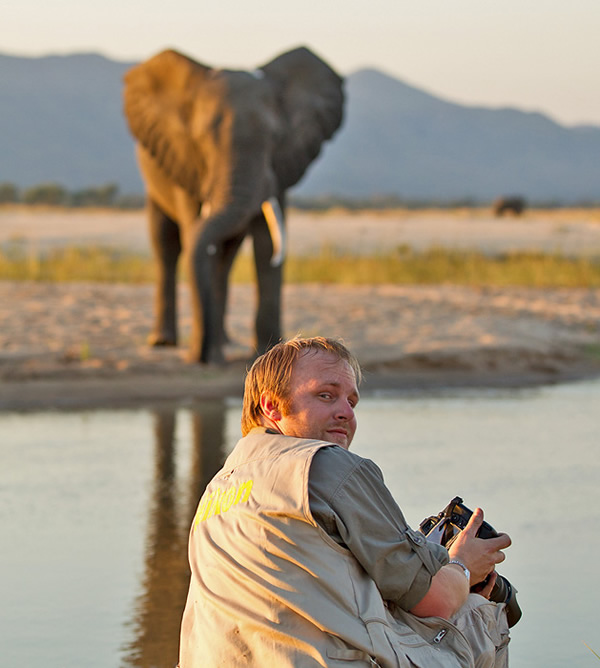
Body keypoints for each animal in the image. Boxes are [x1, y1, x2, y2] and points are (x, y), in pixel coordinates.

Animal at [122, 45, 344, 366]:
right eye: (201, 137)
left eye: (276, 137)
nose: (199, 357)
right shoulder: (186, 161)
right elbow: (196, 237)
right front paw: (207, 357)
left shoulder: (280, 168)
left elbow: (266, 245)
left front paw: (267, 354)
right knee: (166, 244)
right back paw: (165, 342)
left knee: (224, 259)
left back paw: (224, 341)